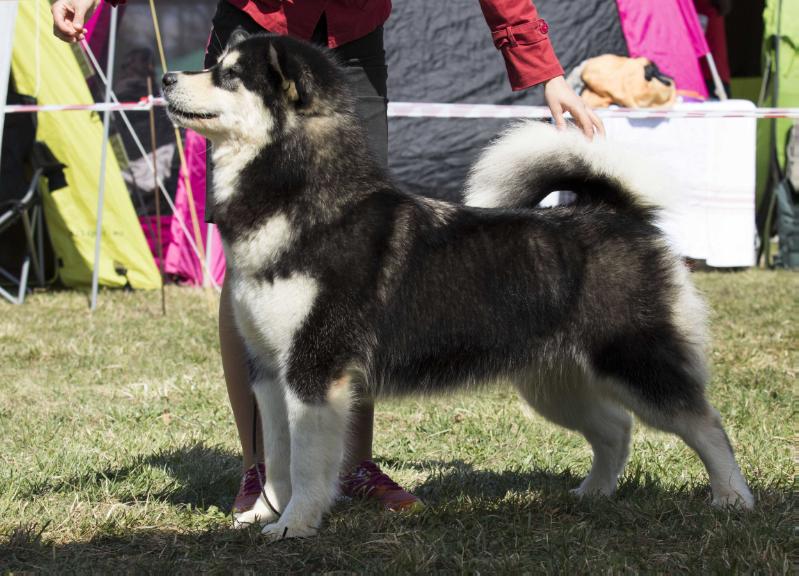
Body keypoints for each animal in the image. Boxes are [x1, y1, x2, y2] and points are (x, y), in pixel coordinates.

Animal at [164, 33, 756, 540]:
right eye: (216, 66)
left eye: (229, 75)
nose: (167, 76)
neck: (299, 197)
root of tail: (614, 211)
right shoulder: (269, 371)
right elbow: (277, 460)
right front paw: (266, 512)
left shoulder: (315, 369)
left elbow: (307, 463)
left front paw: (296, 524)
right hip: (553, 382)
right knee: (616, 427)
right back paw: (593, 493)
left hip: (635, 360)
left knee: (705, 423)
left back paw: (733, 498)